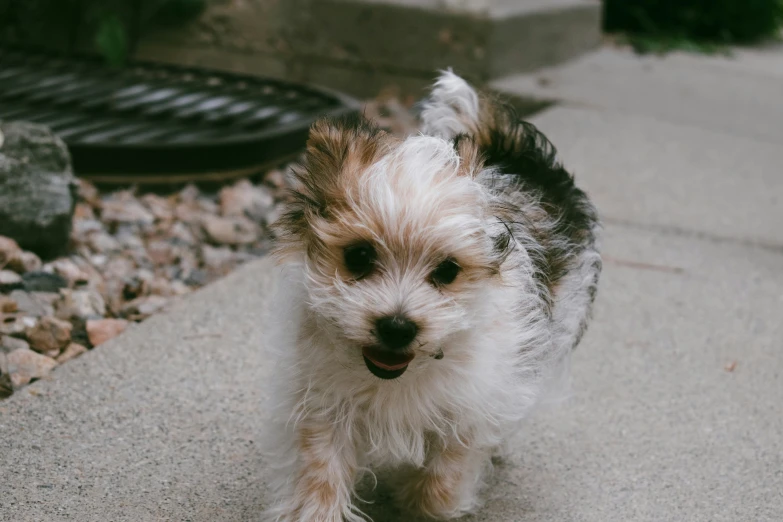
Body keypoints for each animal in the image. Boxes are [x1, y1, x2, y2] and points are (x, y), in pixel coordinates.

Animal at [266, 72, 604, 520]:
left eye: (447, 271)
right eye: (358, 256)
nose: (396, 327)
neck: (400, 374)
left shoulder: (471, 408)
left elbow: (443, 482)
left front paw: (418, 499)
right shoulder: (324, 403)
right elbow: (321, 473)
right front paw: (319, 509)